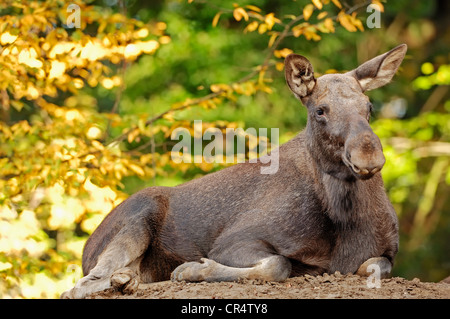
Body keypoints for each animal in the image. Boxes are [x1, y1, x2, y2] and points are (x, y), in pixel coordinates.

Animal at [61, 43, 406, 298]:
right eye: (320, 110)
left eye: (369, 106)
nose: (368, 155)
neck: (346, 219)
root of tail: (86, 248)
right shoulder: (233, 241)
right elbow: (279, 264)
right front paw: (192, 269)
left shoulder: (386, 253)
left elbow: (376, 265)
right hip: (139, 214)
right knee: (78, 287)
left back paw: (126, 281)